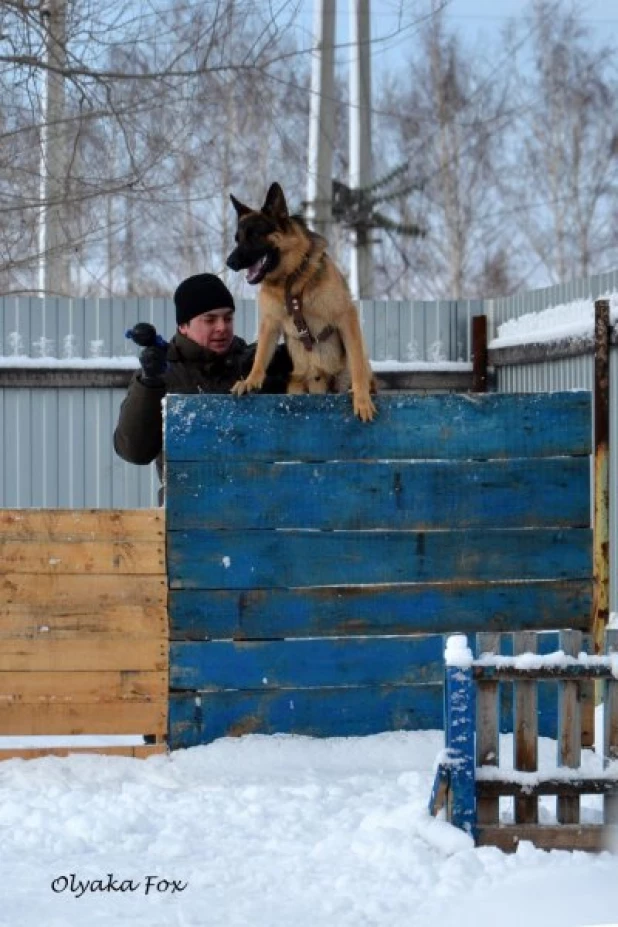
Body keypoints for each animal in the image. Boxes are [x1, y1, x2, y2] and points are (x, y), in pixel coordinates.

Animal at [224, 183, 372, 422]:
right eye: (238, 239)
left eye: (254, 235)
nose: (229, 262)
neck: (291, 280)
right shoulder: (270, 324)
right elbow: (260, 356)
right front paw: (250, 381)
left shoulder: (346, 315)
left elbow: (357, 364)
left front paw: (361, 399)